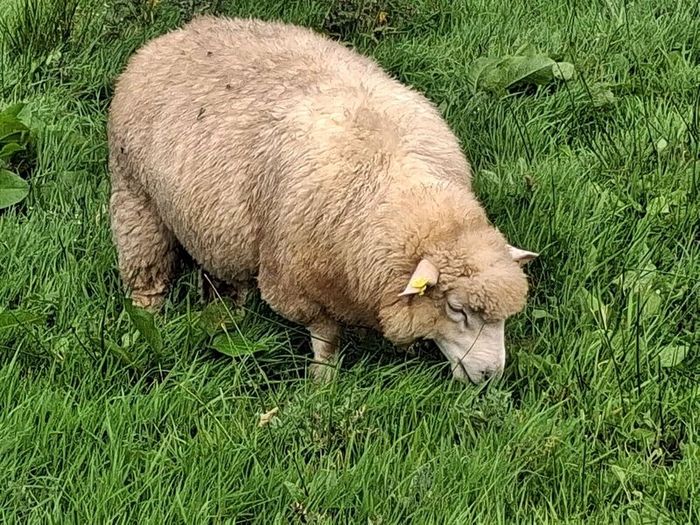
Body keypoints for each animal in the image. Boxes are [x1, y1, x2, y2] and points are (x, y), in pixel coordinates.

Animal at [107, 15, 538, 384]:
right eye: (457, 309)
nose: (491, 376)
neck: (401, 189)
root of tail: (181, 32)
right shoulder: (301, 286)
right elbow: (326, 337)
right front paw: (322, 381)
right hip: (135, 197)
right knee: (145, 273)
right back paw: (146, 320)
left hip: (212, 223)